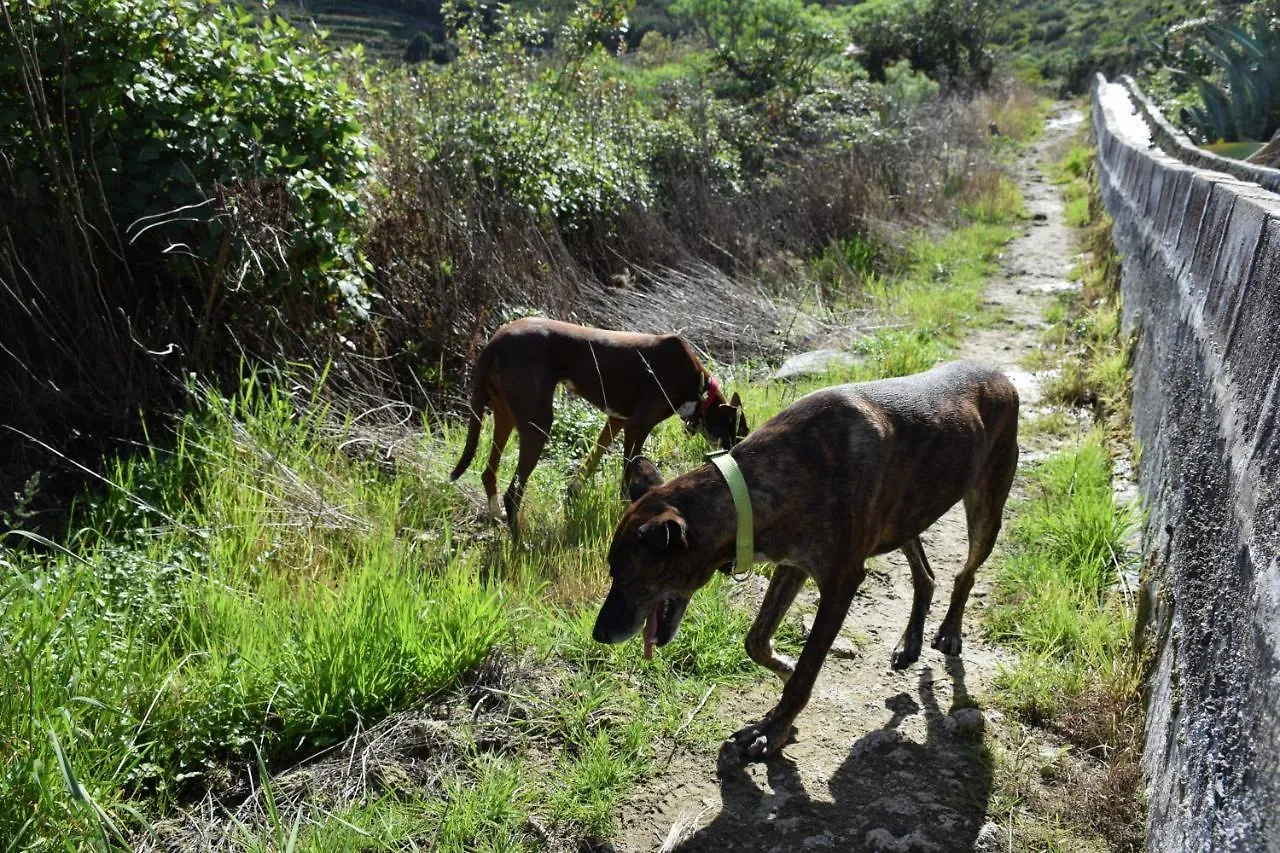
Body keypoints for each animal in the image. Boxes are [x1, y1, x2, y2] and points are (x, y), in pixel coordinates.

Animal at [453, 315, 747, 535]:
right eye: (738, 433)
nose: (736, 461)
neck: (700, 389)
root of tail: (496, 340)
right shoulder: (638, 426)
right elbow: (627, 472)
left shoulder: (617, 421)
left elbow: (591, 462)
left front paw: (573, 496)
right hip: (538, 424)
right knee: (513, 493)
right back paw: (519, 544)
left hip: (505, 415)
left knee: (489, 473)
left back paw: (496, 518)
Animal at [588, 358, 1018, 758]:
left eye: (630, 578)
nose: (599, 635)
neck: (751, 490)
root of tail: (1001, 375)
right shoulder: (792, 564)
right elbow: (756, 642)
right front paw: (784, 670)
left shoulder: (841, 582)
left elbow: (807, 669)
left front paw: (773, 728)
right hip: (905, 515)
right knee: (925, 574)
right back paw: (910, 641)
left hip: (985, 508)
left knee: (966, 574)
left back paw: (949, 631)